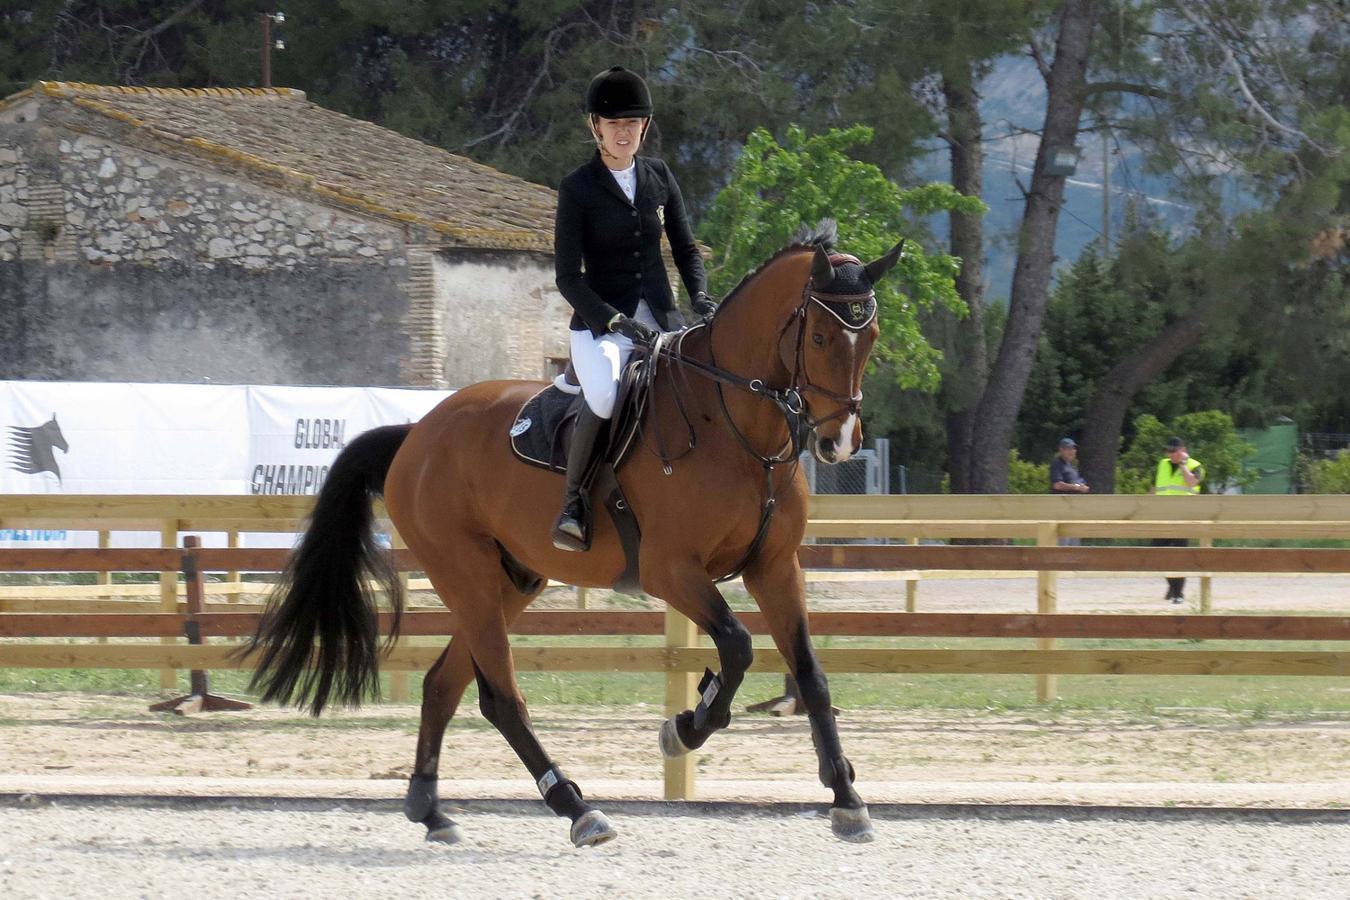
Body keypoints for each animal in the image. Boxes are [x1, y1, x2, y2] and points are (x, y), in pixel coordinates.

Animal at [244, 221, 903, 847]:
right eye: (819, 338)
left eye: (870, 336)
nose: (838, 441)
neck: (736, 426)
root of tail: (416, 433)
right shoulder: (671, 571)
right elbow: (738, 647)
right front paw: (685, 727)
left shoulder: (775, 565)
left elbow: (811, 674)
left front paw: (847, 799)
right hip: (467, 575)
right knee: (500, 697)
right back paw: (578, 809)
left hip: (511, 580)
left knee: (443, 684)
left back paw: (431, 810)